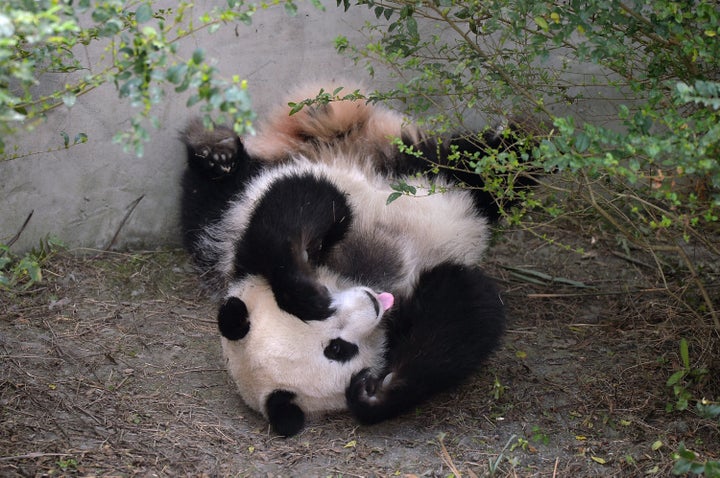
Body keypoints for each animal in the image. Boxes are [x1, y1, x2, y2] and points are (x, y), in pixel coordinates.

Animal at [183, 83, 516, 436]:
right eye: (339, 350)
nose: (370, 303)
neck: (362, 277)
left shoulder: (249, 252)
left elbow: (300, 201)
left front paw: (306, 295)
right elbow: (465, 304)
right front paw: (373, 394)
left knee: (477, 162)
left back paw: (216, 150)